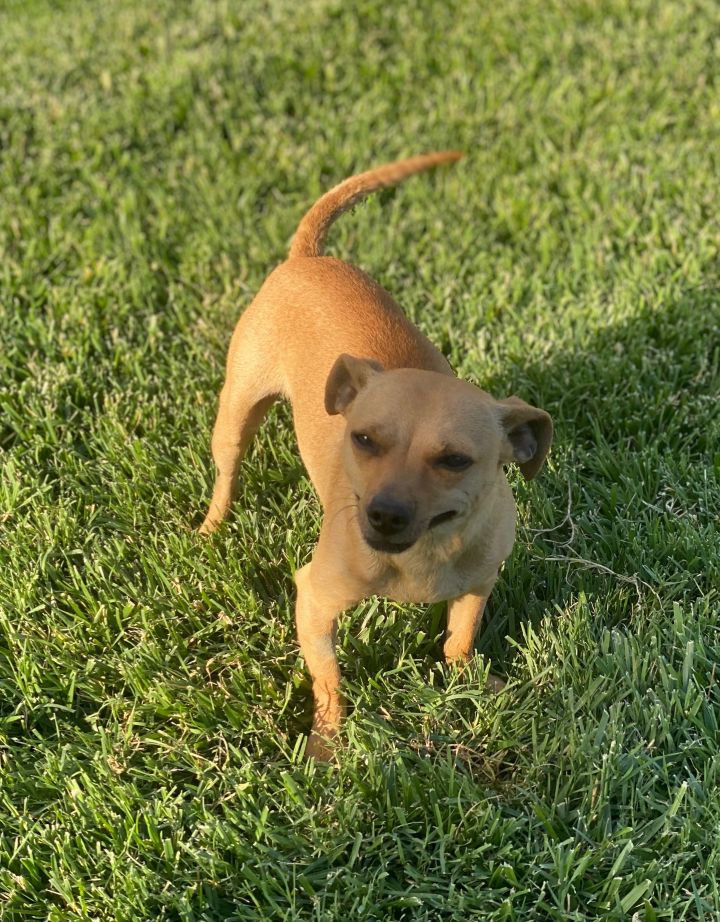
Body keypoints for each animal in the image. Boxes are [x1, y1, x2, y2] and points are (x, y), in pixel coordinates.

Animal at [197, 149, 552, 756]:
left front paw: (471, 684)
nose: (384, 514)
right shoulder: (313, 600)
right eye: (363, 439)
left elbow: (459, 641)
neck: (422, 558)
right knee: (228, 471)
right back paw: (212, 525)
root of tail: (308, 257)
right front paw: (327, 741)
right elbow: (329, 680)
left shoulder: (478, 585)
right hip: (237, 412)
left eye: (454, 460)